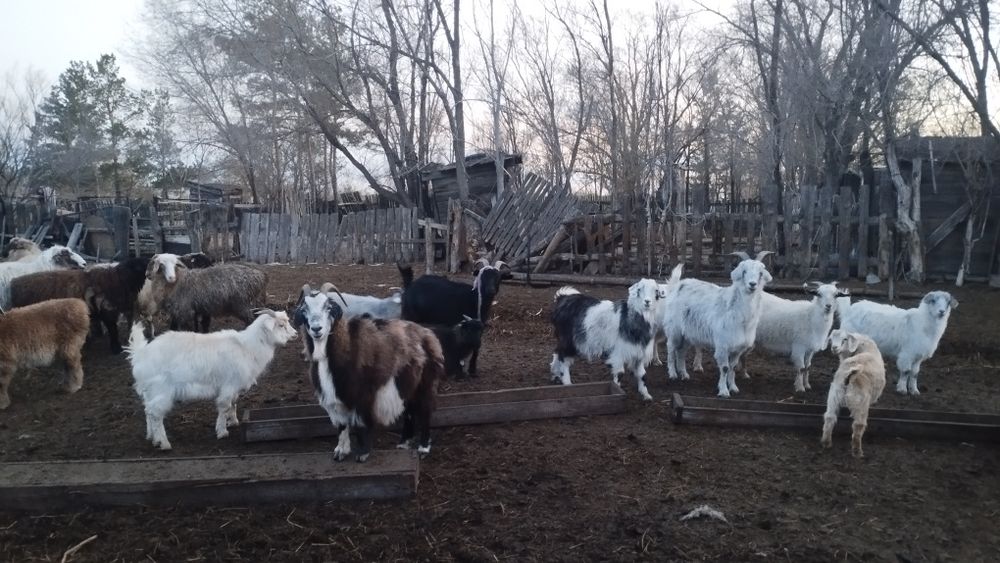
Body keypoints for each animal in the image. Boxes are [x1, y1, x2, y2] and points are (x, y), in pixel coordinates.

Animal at [9, 257, 150, 354]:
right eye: (141, 265)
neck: (119, 279)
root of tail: (14, 282)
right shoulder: (108, 309)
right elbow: (113, 330)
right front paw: (116, 348)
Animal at [127, 309, 297, 450]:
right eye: (281, 325)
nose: (295, 334)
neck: (247, 347)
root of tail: (140, 354)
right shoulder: (229, 385)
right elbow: (224, 406)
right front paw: (222, 431)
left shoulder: (234, 387)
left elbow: (233, 404)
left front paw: (233, 421)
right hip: (161, 390)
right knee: (155, 413)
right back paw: (163, 443)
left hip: (150, 391)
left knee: (147, 410)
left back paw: (152, 438)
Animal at [294, 284, 443, 462]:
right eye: (304, 310)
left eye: (328, 307)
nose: (317, 329)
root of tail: (428, 335)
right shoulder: (335, 397)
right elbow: (341, 425)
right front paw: (340, 452)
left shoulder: (362, 394)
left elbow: (361, 423)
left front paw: (362, 453)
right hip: (407, 383)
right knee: (409, 409)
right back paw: (404, 443)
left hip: (426, 381)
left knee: (425, 410)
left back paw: (423, 448)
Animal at [662, 251, 773, 398]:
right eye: (744, 271)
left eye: (760, 273)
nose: (752, 284)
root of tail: (676, 286)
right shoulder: (722, 344)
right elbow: (725, 368)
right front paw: (724, 391)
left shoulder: (738, 348)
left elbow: (733, 367)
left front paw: (733, 388)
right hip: (674, 329)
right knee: (671, 348)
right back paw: (673, 374)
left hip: (688, 334)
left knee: (681, 351)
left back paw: (684, 374)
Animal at [821, 329, 886, 458]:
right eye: (831, 339)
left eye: (845, 339)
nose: (834, 347)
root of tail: (849, 377)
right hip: (861, 402)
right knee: (858, 425)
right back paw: (857, 452)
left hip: (834, 395)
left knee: (830, 417)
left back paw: (826, 443)